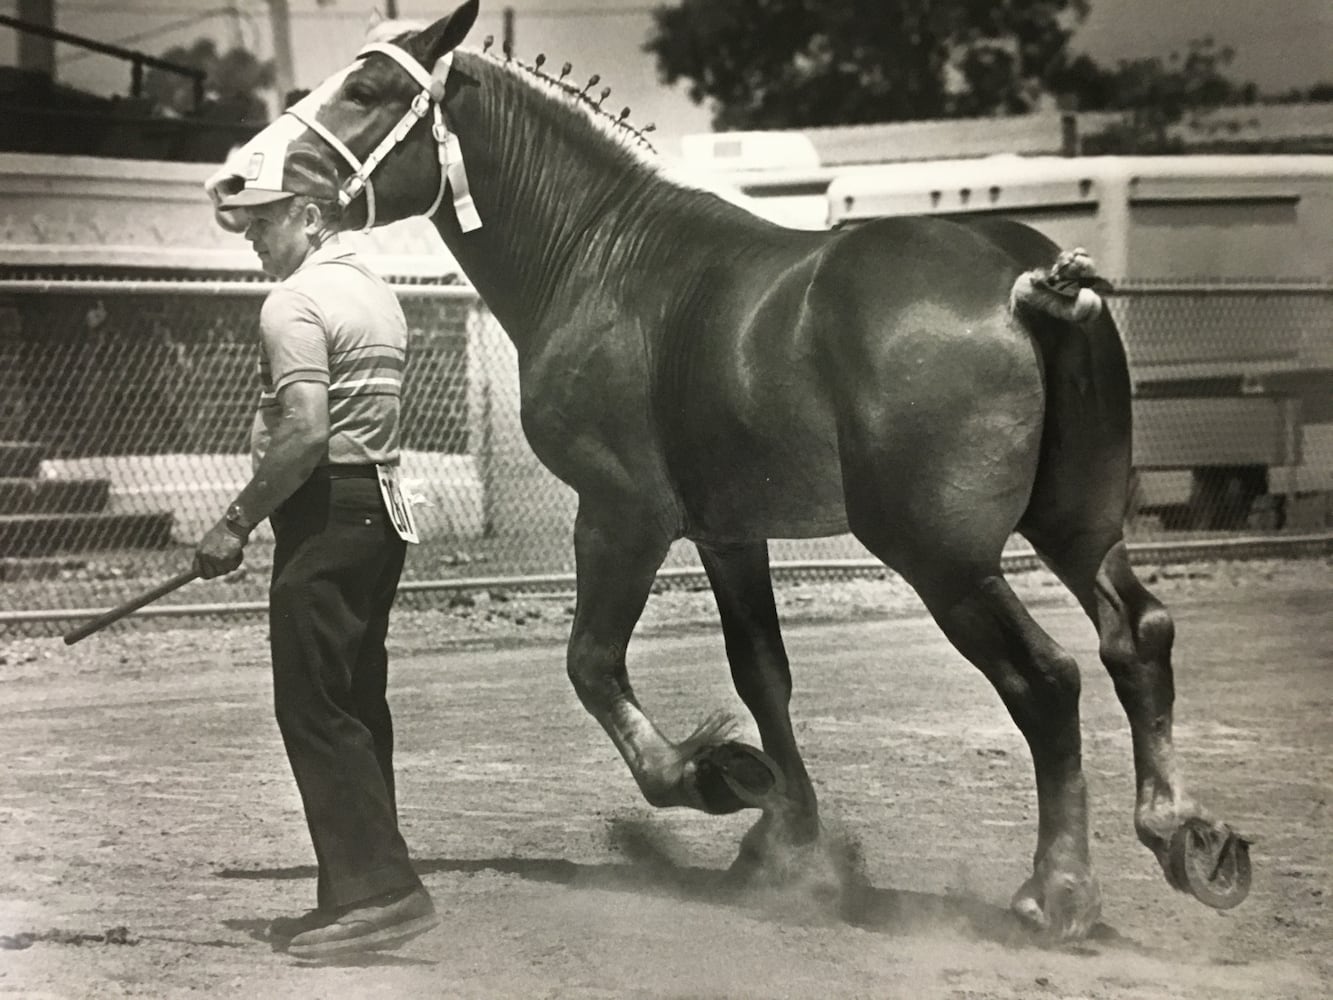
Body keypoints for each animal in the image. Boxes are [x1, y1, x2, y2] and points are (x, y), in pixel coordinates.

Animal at [207, 0, 1247, 938]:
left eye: (366, 91)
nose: (231, 181)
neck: (604, 254)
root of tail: (1028, 282)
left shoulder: (620, 514)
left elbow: (592, 665)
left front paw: (712, 778)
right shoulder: (729, 532)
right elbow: (763, 677)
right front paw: (786, 843)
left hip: (944, 561)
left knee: (1046, 680)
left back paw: (1058, 891)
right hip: (1075, 529)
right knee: (1135, 636)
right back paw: (1183, 837)